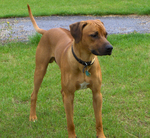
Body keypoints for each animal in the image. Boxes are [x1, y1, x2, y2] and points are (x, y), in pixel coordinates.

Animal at [27, 4, 112, 138]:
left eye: (106, 34)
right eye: (94, 35)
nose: (110, 48)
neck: (84, 63)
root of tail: (47, 31)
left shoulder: (97, 94)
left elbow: (99, 120)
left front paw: (101, 135)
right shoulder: (70, 94)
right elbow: (70, 123)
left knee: (63, 94)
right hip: (40, 70)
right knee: (34, 94)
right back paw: (32, 116)